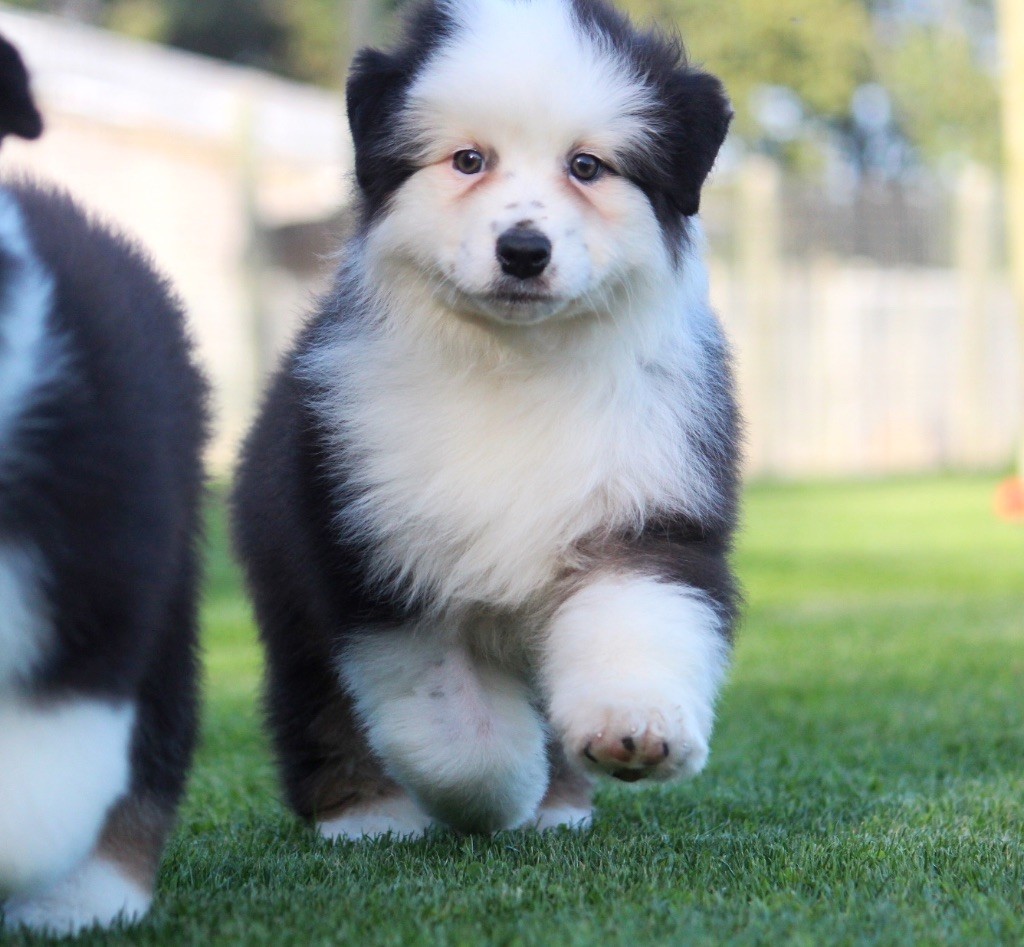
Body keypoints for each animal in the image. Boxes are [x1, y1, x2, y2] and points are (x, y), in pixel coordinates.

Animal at [233, 0, 739, 839]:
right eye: (468, 161)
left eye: (587, 167)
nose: (523, 249)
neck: (516, 361)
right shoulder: (375, 552)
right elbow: (452, 723)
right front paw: (498, 791)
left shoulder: (648, 503)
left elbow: (637, 616)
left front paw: (633, 728)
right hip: (286, 570)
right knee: (317, 703)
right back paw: (367, 814)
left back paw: (559, 803)